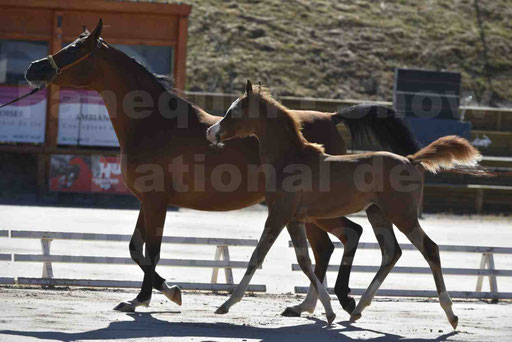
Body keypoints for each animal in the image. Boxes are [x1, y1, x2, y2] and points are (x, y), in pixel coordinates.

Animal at [24, 19, 420, 316]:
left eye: (75, 50)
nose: (34, 68)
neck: (154, 123)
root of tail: (329, 116)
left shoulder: (156, 202)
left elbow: (151, 251)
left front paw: (148, 298)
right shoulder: (146, 201)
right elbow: (136, 250)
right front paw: (164, 292)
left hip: (312, 210)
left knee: (337, 241)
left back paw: (331, 302)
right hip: (308, 212)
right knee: (333, 244)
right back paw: (312, 306)